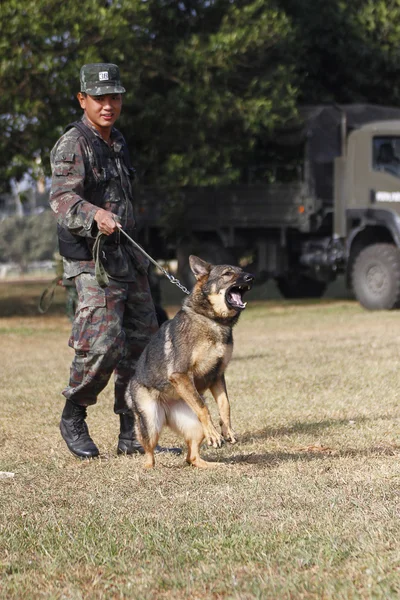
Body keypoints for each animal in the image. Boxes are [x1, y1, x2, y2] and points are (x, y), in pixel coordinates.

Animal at [126, 253, 255, 468]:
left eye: (242, 270)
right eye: (228, 274)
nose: (250, 277)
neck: (212, 320)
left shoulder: (217, 376)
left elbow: (225, 405)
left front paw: (227, 430)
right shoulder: (180, 375)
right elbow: (204, 409)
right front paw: (216, 434)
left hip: (193, 427)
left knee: (191, 457)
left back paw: (213, 465)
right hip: (151, 424)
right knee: (149, 453)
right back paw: (148, 468)